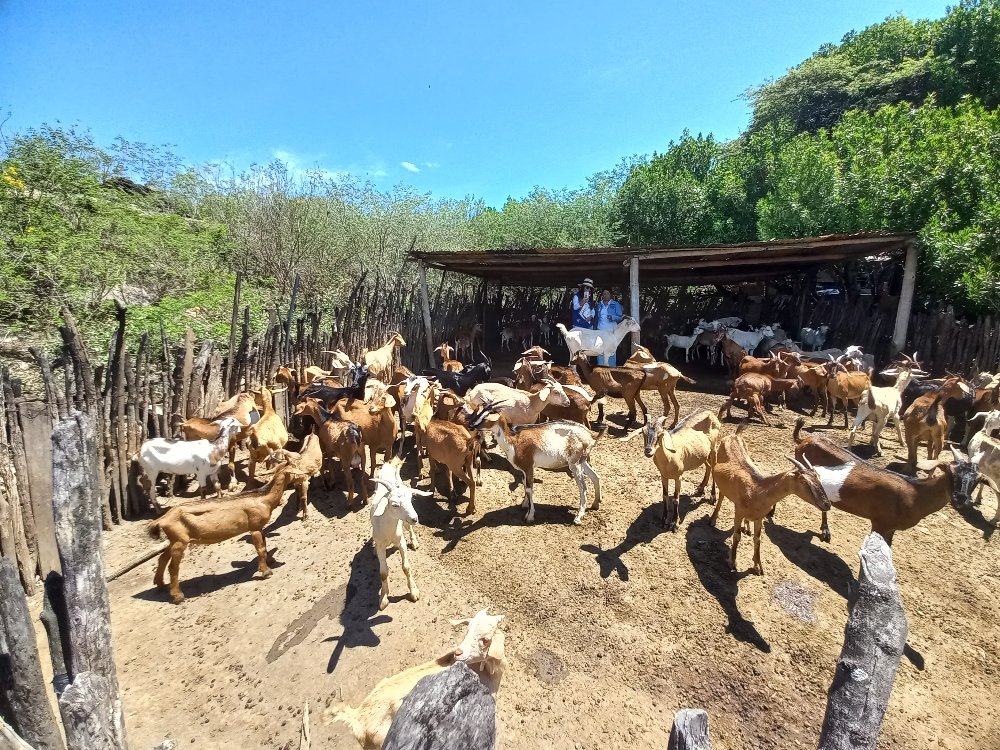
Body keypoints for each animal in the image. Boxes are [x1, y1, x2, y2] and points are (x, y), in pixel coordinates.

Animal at [145, 464, 300, 604]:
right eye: (296, 469)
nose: (304, 475)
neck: (263, 499)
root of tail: (163, 519)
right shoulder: (254, 527)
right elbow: (260, 549)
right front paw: (266, 572)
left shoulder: (259, 527)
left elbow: (265, 544)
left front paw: (270, 561)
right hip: (180, 542)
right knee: (173, 567)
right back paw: (178, 596)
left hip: (174, 539)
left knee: (162, 558)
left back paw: (160, 584)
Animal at [368, 458, 430, 612]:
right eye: (395, 504)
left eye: (411, 499)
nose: (415, 518)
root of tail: (389, 465)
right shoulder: (381, 546)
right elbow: (383, 573)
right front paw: (384, 598)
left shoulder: (401, 541)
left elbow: (406, 567)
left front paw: (414, 592)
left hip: (405, 523)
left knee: (409, 528)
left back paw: (414, 541)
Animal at [708, 428, 832, 576]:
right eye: (805, 482)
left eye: (818, 476)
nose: (827, 504)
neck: (757, 491)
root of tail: (735, 434)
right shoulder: (738, 511)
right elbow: (737, 536)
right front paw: (732, 562)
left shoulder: (759, 518)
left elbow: (758, 539)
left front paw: (758, 567)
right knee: (721, 495)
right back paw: (713, 519)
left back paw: (747, 527)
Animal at [792, 418, 980, 548]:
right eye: (951, 473)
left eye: (976, 480)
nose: (961, 497)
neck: (916, 493)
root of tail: (804, 440)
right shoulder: (880, 523)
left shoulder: (890, 528)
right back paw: (825, 531)